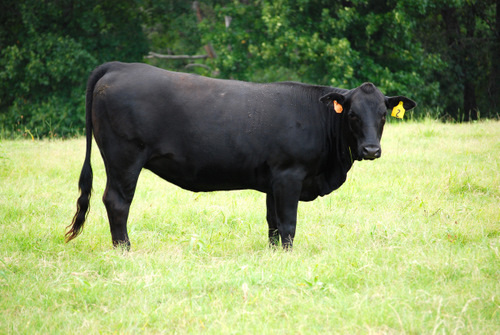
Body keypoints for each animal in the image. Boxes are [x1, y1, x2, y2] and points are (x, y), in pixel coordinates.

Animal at [67, 62, 418, 249]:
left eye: (383, 115)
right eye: (353, 116)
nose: (371, 149)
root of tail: (120, 66)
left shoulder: (273, 180)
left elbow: (273, 223)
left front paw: (274, 254)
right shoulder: (289, 175)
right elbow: (288, 223)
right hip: (124, 159)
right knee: (117, 202)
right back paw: (124, 249)